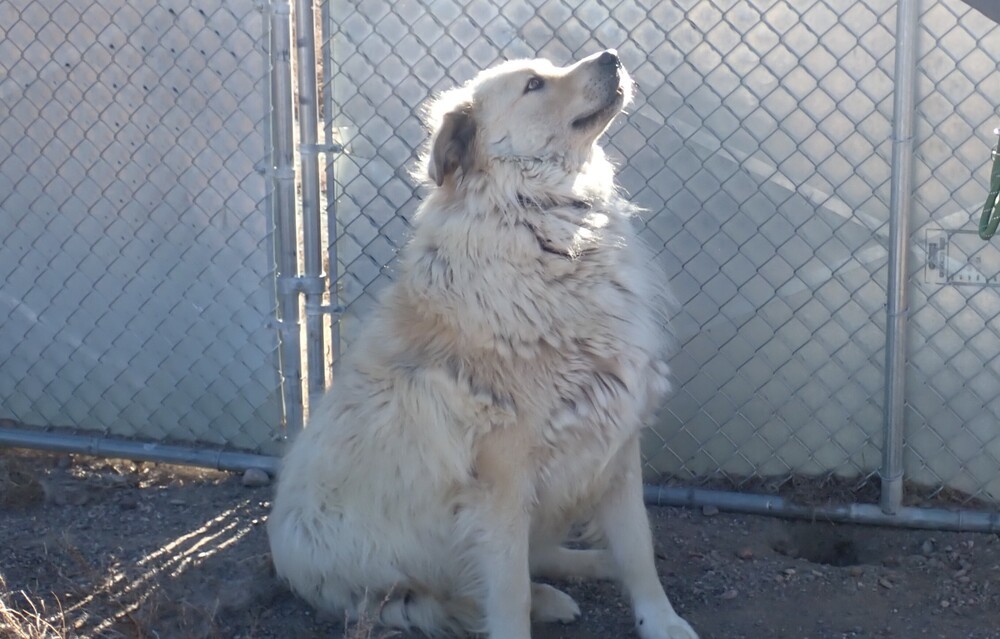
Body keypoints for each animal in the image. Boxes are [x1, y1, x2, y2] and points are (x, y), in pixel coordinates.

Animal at [270, 51, 700, 639]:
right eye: (535, 84)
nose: (611, 57)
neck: (541, 224)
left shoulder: (616, 440)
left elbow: (638, 549)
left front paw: (660, 620)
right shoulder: (501, 483)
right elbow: (508, 590)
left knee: (545, 555)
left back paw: (588, 565)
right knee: (458, 594)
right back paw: (548, 597)